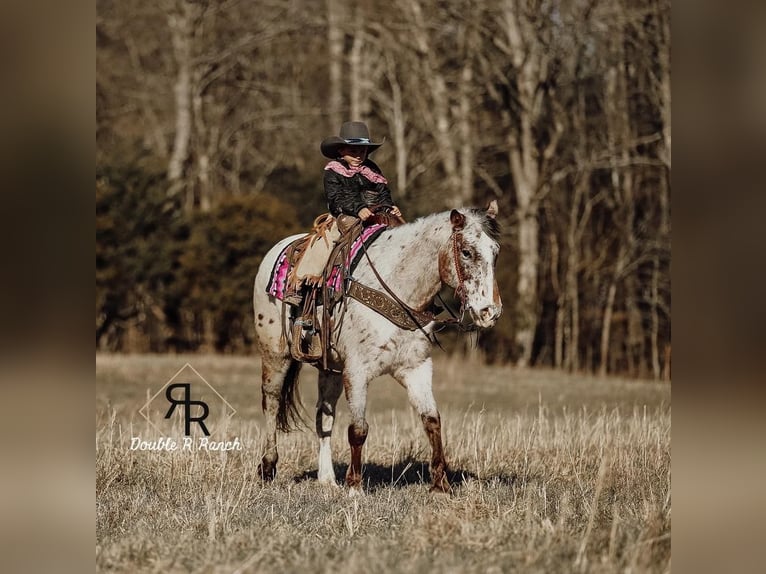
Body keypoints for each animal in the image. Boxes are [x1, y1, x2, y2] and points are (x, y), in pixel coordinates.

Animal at [254, 202, 504, 496]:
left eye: (495, 251)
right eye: (466, 252)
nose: (490, 311)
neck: (399, 288)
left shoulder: (415, 368)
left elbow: (431, 420)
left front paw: (440, 485)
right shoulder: (357, 371)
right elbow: (358, 429)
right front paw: (354, 486)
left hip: (330, 370)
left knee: (324, 417)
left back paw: (327, 478)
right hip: (275, 355)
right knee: (271, 403)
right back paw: (267, 468)